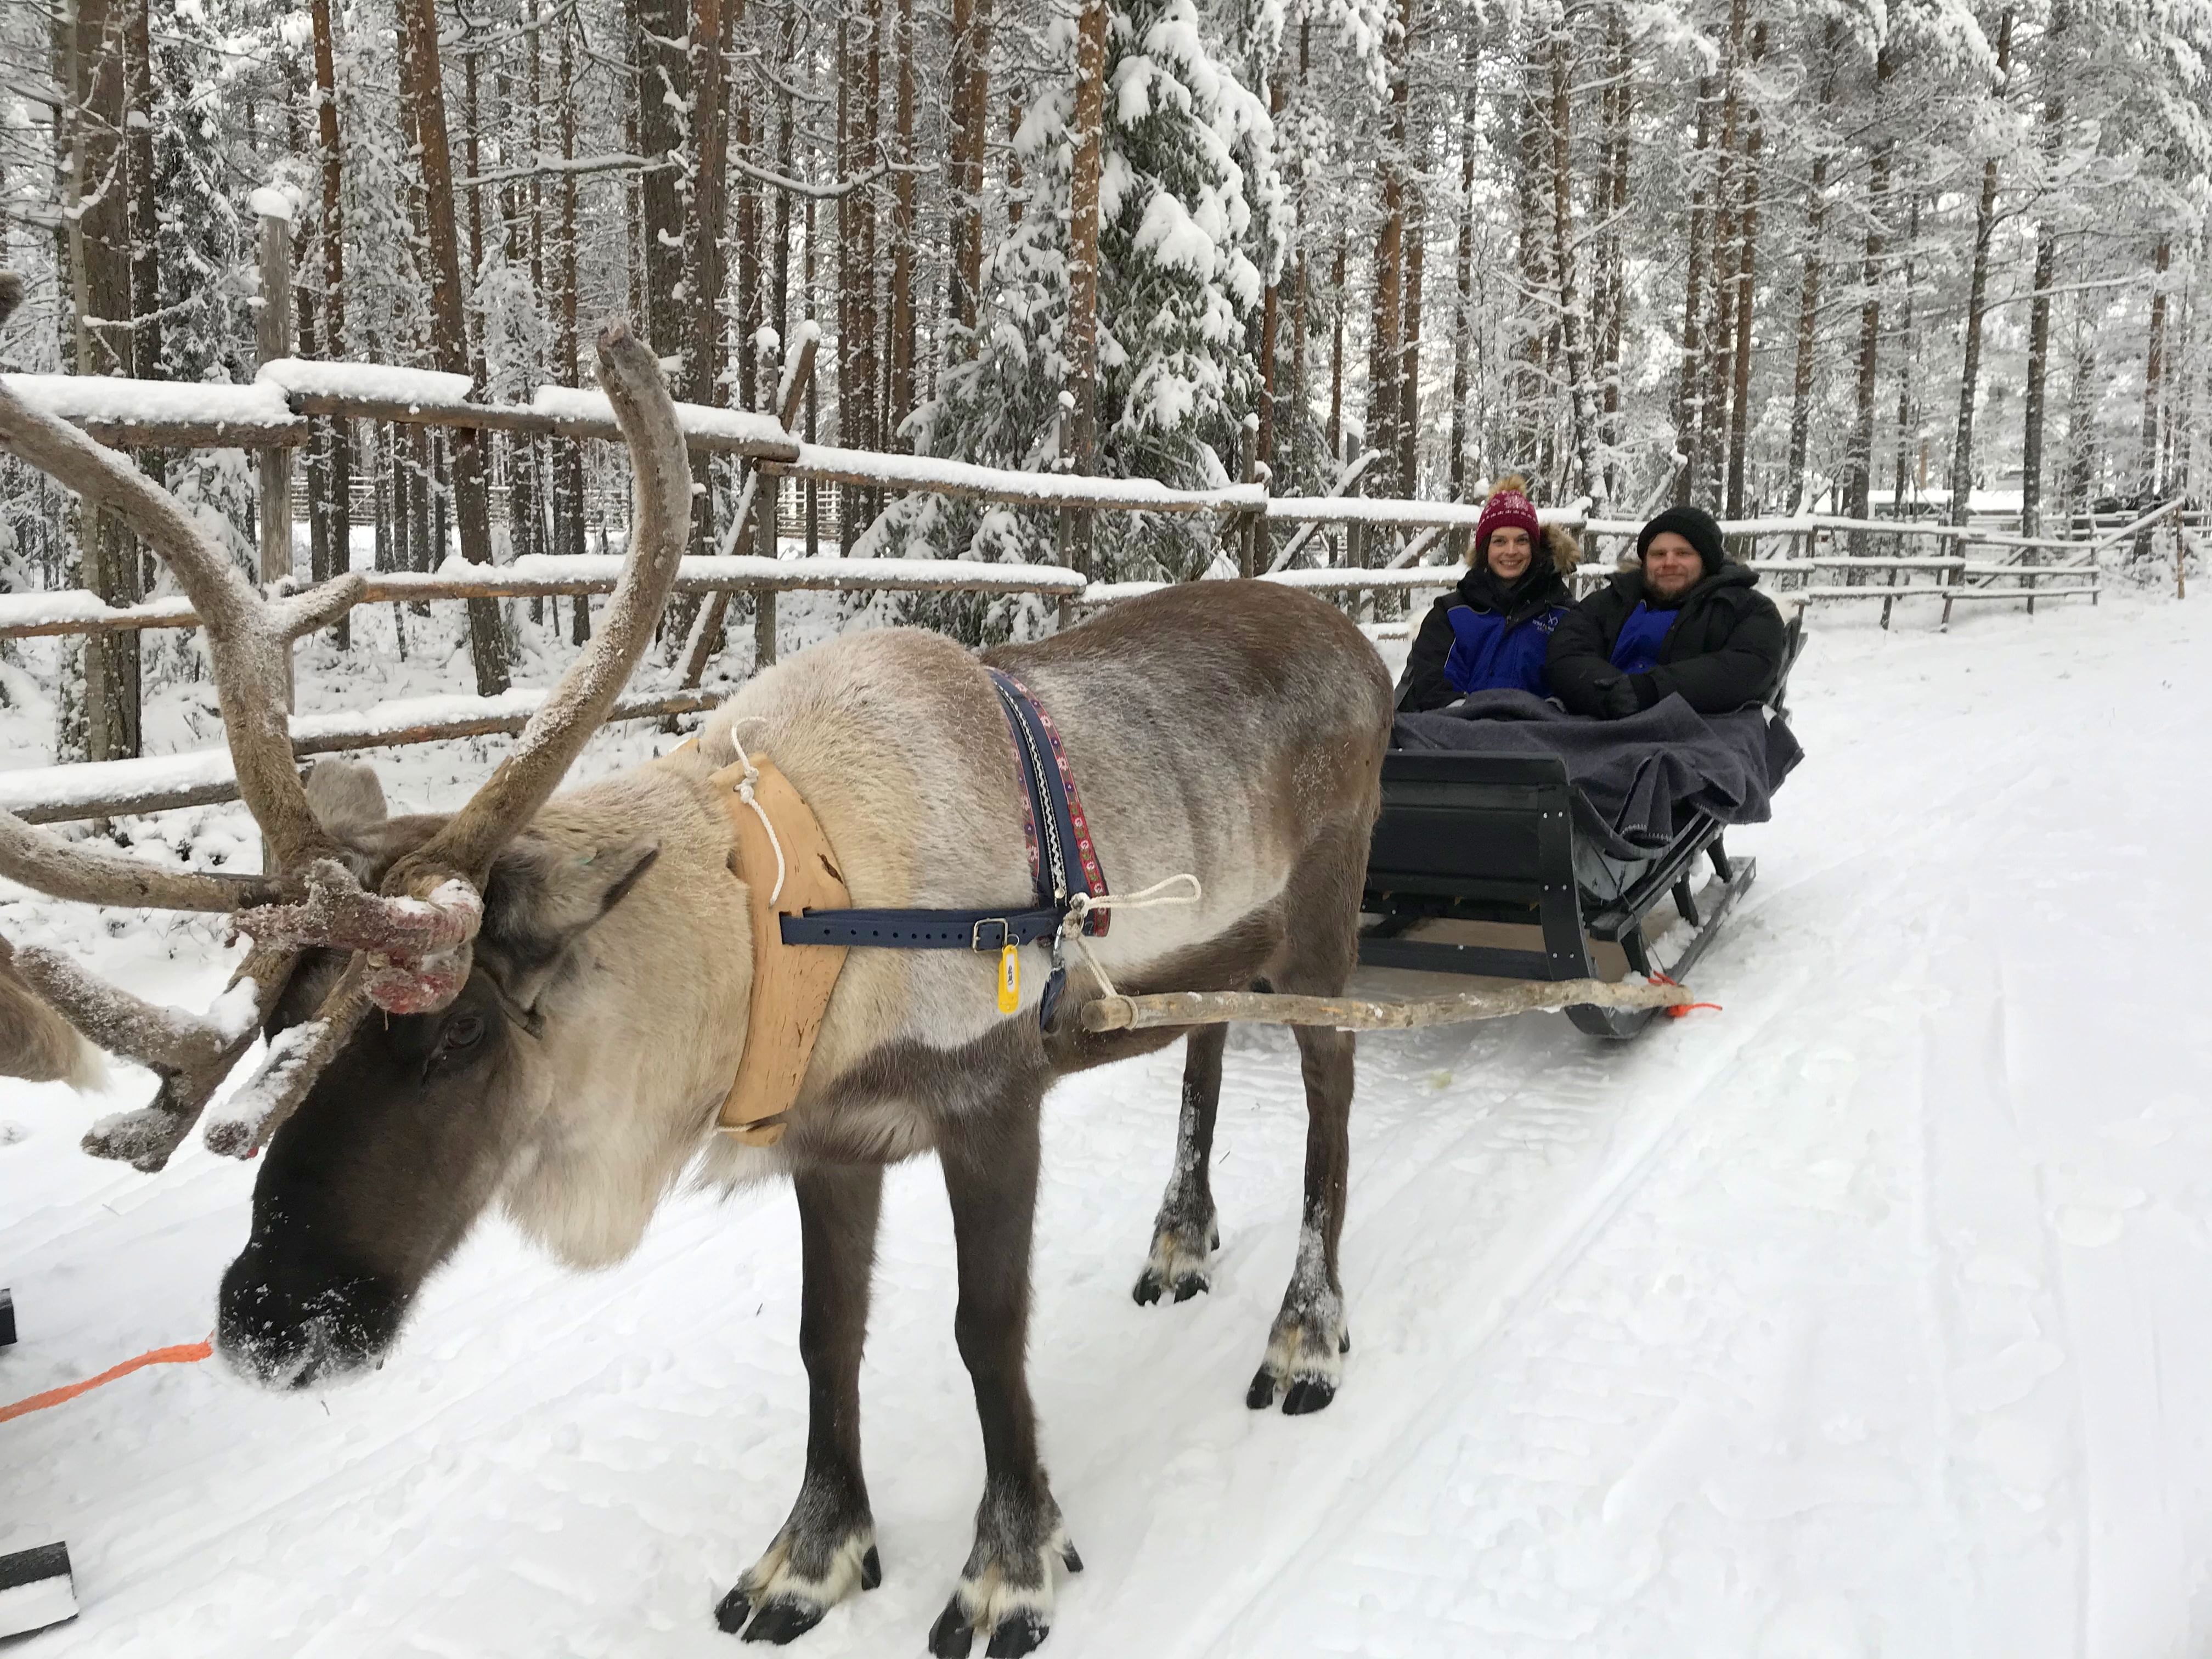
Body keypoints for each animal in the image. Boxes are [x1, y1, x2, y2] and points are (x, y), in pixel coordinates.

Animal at [0, 310, 1393, 1657]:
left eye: (456, 1035)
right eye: (279, 1022)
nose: (267, 1322)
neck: (792, 922)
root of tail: (1361, 646)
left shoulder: (989, 1105)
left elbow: (986, 1333)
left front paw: (1010, 1571)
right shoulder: (830, 1136)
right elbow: (826, 1337)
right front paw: (812, 1557)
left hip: (1327, 927)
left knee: (1333, 1099)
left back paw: (1305, 1338)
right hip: (1231, 953)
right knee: (1208, 1051)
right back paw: (1180, 1240)